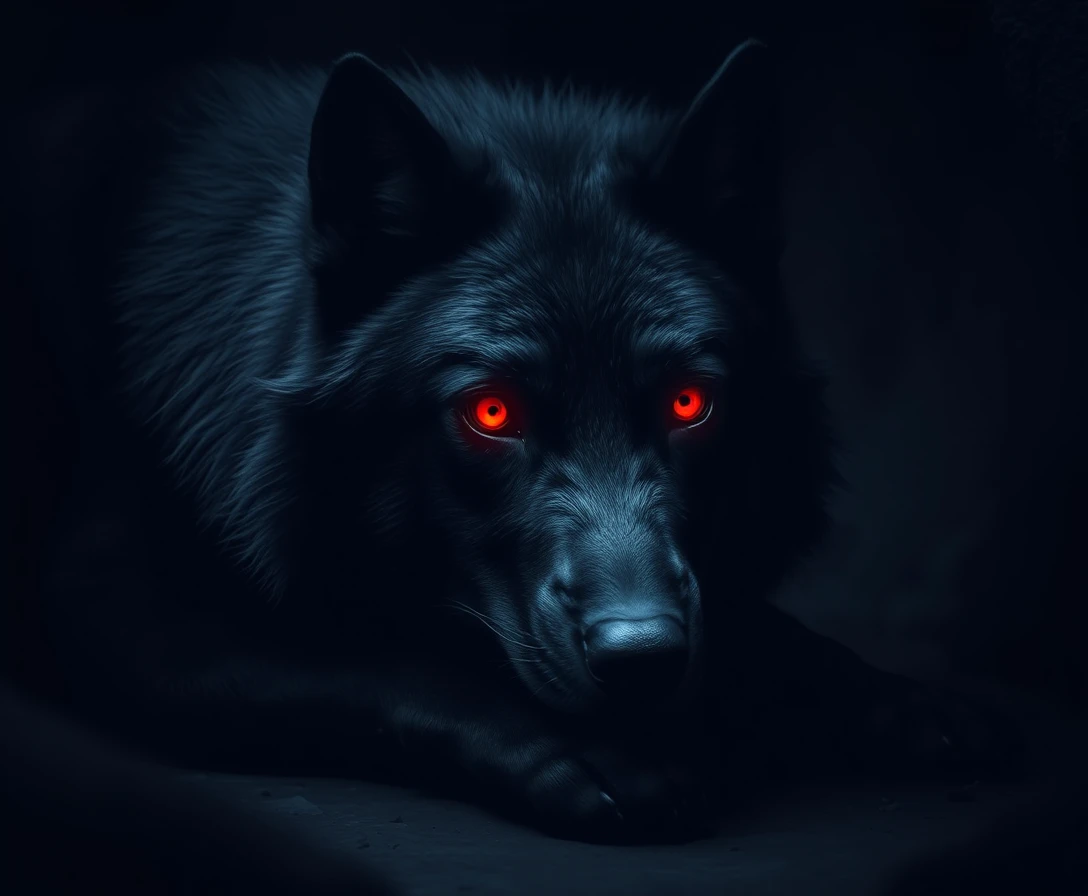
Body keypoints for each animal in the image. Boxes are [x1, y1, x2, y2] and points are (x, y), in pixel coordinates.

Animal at [21, 39, 1017, 847]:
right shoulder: (116, 612)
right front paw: (593, 756)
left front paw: (891, 696)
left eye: (689, 402)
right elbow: (386, 655)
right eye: (492, 413)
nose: (642, 656)